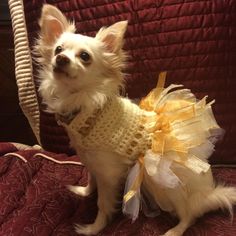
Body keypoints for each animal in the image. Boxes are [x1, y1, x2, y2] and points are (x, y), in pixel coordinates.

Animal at [36, 4, 236, 235]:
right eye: (58, 50)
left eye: (85, 56)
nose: (61, 59)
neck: (87, 108)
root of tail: (206, 196)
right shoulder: (91, 161)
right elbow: (91, 179)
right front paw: (84, 191)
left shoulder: (109, 175)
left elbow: (103, 204)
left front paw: (93, 228)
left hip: (165, 185)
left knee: (190, 215)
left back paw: (175, 230)